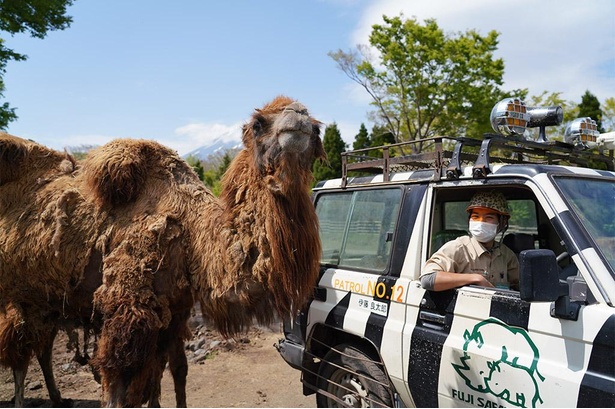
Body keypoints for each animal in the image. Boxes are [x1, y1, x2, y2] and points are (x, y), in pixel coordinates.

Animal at [0, 95, 328, 404]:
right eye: (258, 123)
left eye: (316, 127)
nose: (298, 114)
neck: (192, 238)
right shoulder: (127, 309)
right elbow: (119, 389)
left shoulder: (175, 313)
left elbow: (175, 371)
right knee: (20, 353)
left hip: (43, 301)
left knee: (39, 348)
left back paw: (57, 397)